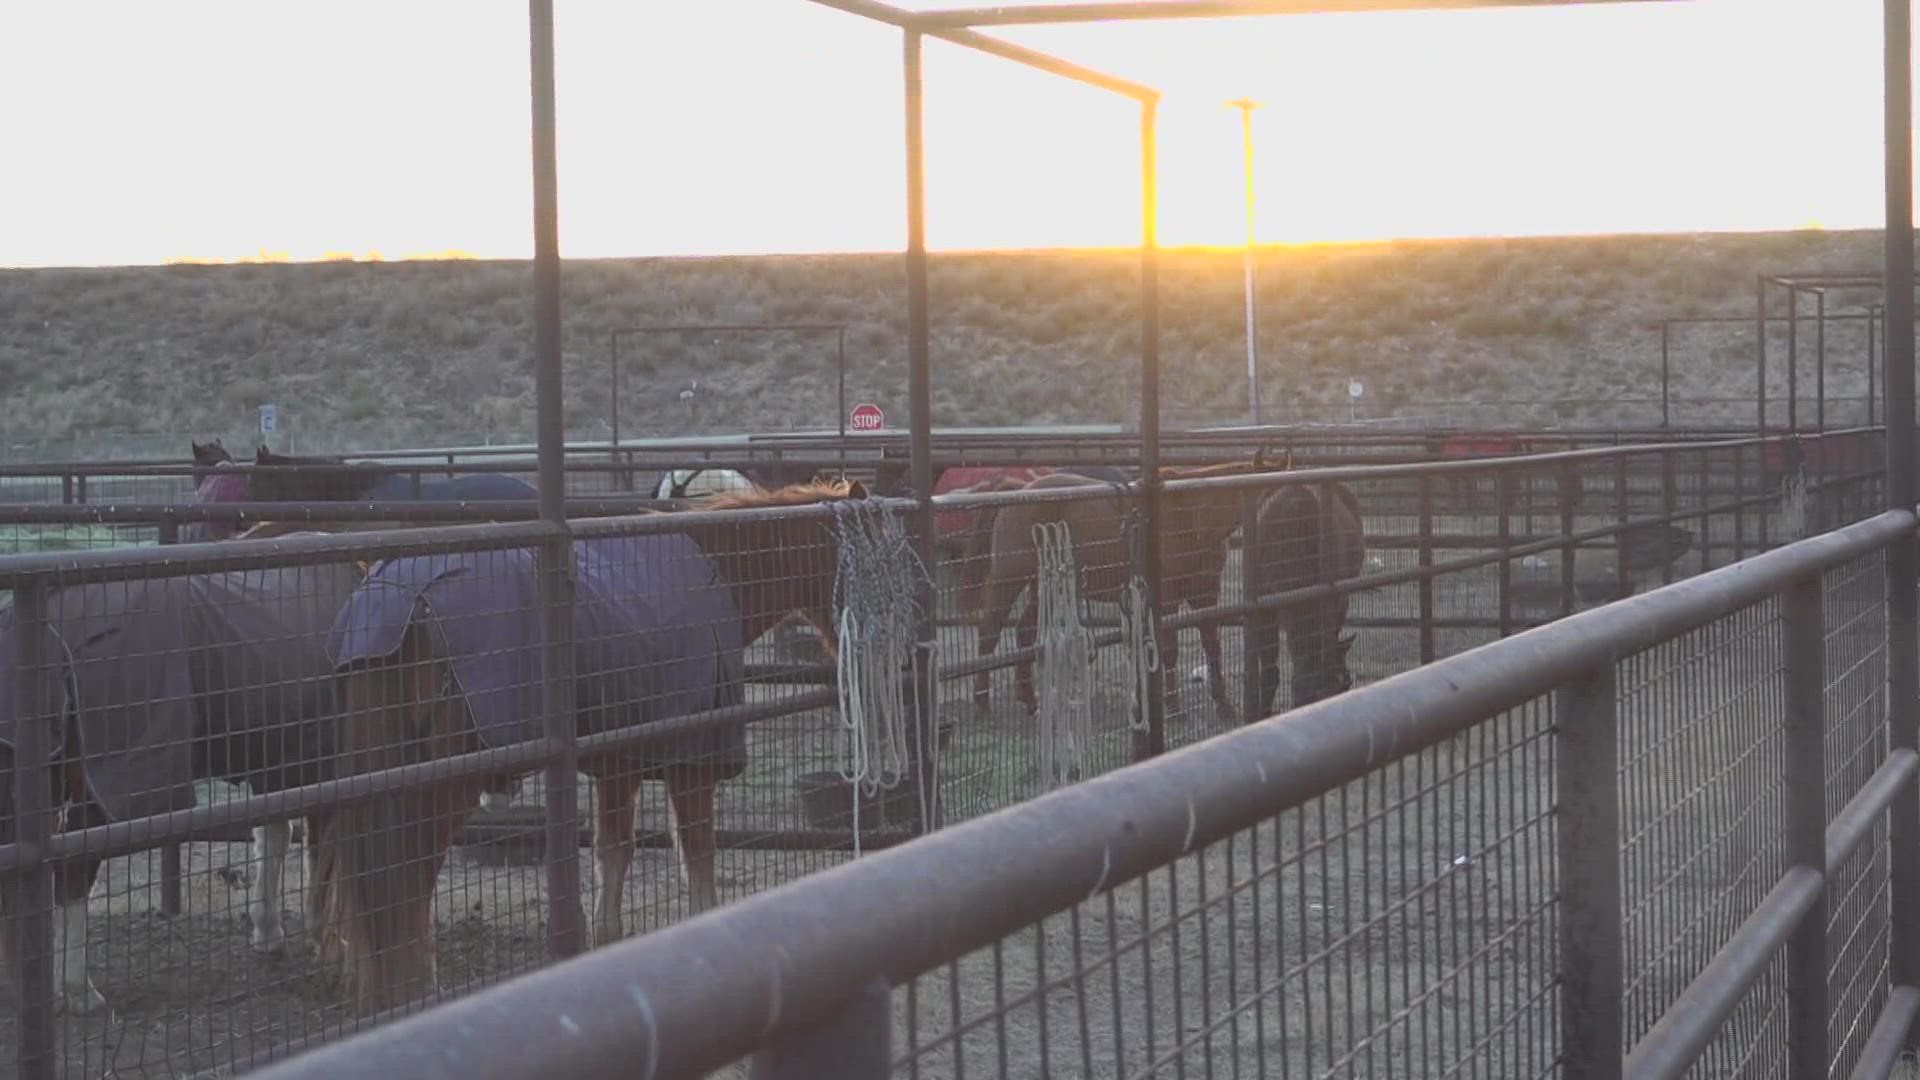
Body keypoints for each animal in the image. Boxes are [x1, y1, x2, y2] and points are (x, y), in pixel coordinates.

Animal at [309, 474, 879, 1006]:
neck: (714, 575)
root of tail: (398, 599)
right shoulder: (693, 759)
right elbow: (698, 857)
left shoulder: (617, 763)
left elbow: (613, 852)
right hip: (444, 782)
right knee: (403, 877)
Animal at [960, 451, 1290, 714]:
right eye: (1265, 494)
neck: (1191, 514)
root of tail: (1019, 491)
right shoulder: (1167, 596)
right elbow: (1169, 650)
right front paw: (1173, 707)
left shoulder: (1205, 593)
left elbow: (1212, 644)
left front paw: (1223, 704)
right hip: (1009, 577)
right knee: (990, 630)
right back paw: (981, 702)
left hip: (1043, 586)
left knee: (1024, 632)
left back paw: (1030, 700)